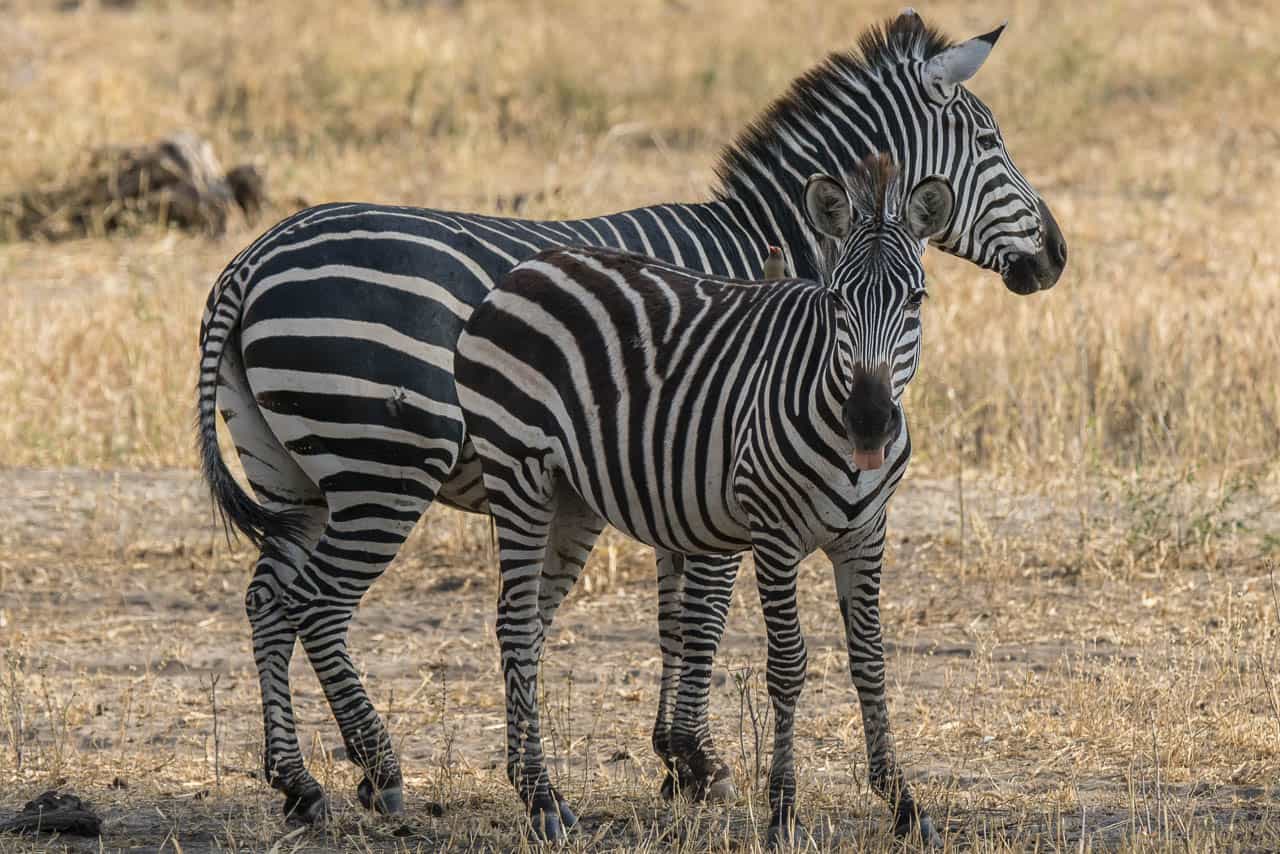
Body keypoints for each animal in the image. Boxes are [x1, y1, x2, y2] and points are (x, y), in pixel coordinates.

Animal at [455, 155, 957, 850]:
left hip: (569, 498)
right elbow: (788, 665)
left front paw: (902, 802)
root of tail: (524, 269)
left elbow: (870, 661)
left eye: (915, 299)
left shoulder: (867, 535)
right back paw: (541, 801)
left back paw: (536, 793)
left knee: (525, 625)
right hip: (518, 471)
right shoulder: (773, 535)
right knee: (514, 620)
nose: (870, 422)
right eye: (836, 300)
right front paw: (782, 810)